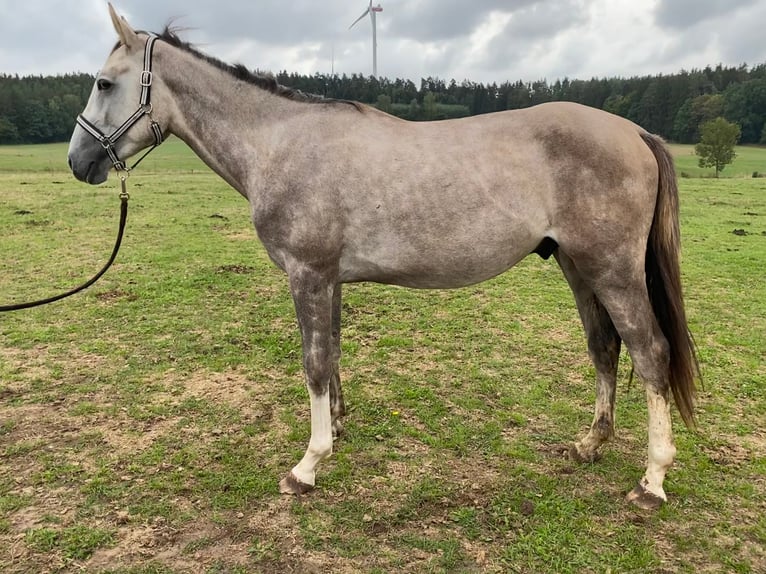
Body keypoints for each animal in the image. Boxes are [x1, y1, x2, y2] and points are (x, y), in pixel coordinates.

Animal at [69, 3, 700, 508]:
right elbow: (332, 355)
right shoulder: (329, 279)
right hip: (577, 266)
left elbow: (314, 363)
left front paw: (307, 466)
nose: (78, 161)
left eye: (103, 84)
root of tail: (635, 133)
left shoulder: (307, 274)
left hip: (613, 270)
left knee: (650, 352)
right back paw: (590, 443)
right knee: (604, 346)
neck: (279, 143)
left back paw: (652, 480)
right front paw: (336, 429)